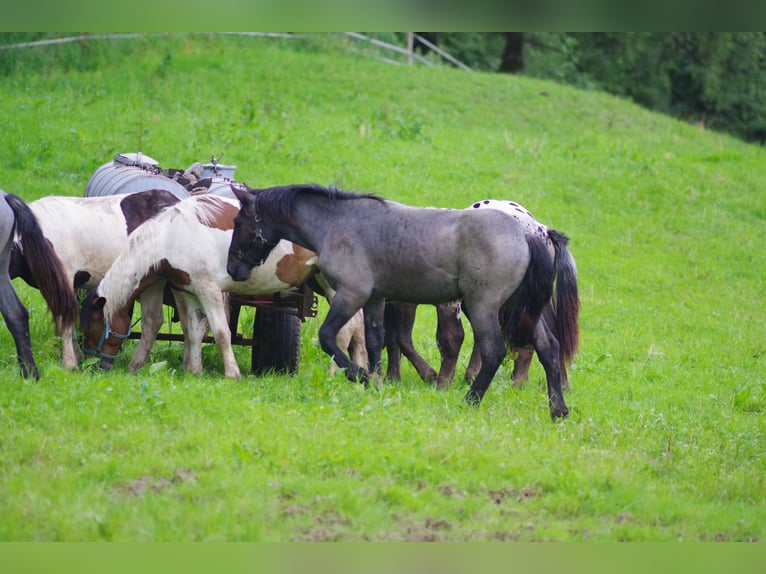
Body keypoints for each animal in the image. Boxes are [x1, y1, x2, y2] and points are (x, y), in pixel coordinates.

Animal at [79, 191, 368, 380]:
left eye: (93, 328)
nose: (92, 367)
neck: (173, 236)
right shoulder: (186, 290)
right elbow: (193, 330)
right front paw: (194, 371)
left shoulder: (210, 290)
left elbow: (220, 332)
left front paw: (232, 374)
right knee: (357, 327)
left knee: (346, 330)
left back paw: (335, 373)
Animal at [228, 186, 584, 424]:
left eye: (238, 222)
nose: (233, 268)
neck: (339, 223)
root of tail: (532, 233)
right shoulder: (375, 299)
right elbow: (376, 342)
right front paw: (376, 381)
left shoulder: (351, 295)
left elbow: (328, 337)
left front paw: (360, 376)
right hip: (520, 310)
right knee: (548, 348)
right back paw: (558, 410)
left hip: (483, 307)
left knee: (494, 350)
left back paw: (469, 400)